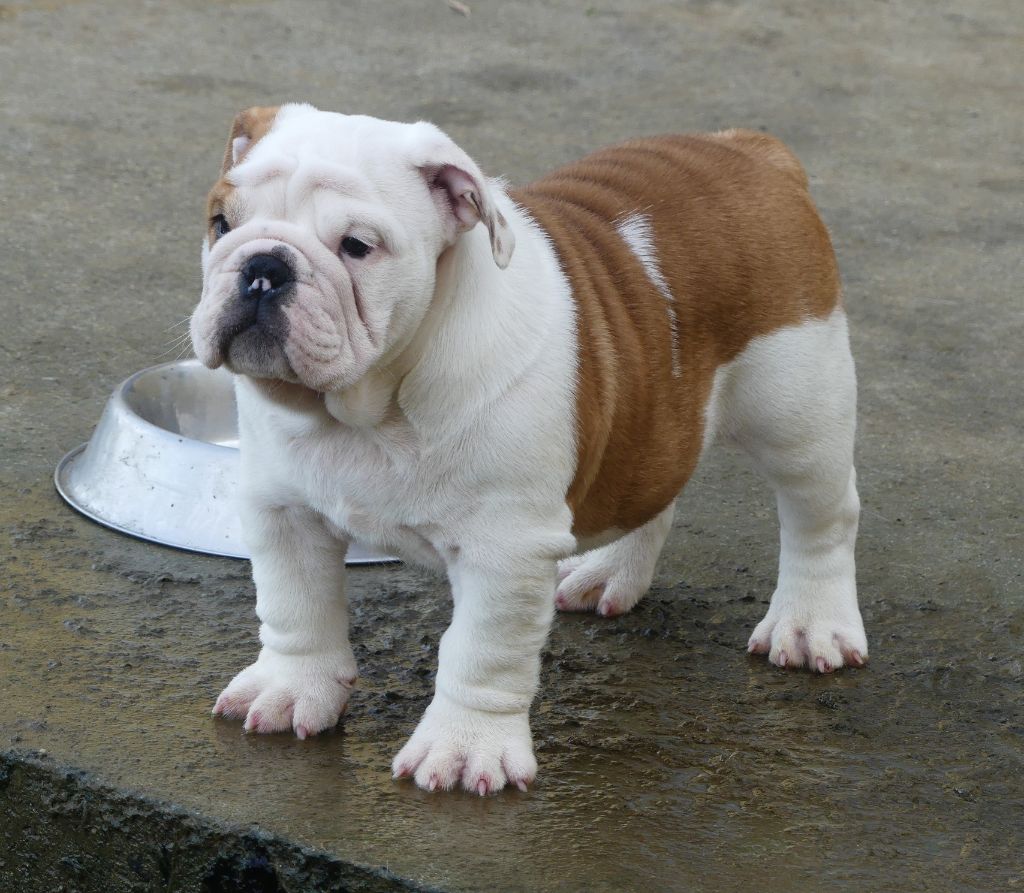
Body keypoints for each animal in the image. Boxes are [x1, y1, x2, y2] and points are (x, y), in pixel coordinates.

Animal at [190, 103, 867, 795]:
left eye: (356, 245)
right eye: (221, 224)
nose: (264, 267)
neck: (371, 406)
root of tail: (750, 151)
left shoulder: (504, 550)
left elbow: (480, 651)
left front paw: (464, 750)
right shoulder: (284, 512)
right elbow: (295, 607)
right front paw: (289, 689)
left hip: (796, 410)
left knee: (821, 518)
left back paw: (811, 625)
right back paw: (608, 574)